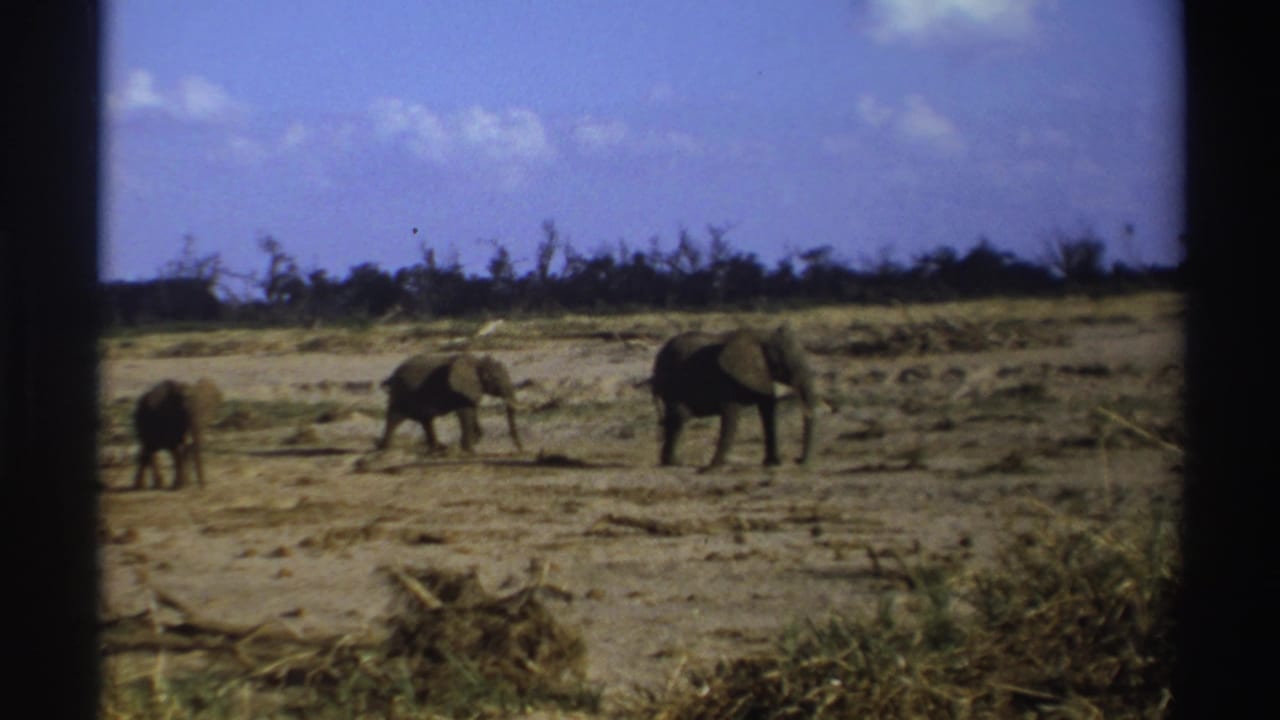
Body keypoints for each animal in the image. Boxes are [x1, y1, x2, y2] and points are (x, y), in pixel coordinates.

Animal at [378, 353, 523, 454]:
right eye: (496, 379)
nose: (520, 450)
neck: (477, 362)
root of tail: (391, 377)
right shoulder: (459, 390)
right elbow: (466, 414)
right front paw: (470, 451)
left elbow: (472, 411)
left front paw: (474, 441)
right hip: (403, 393)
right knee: (395, 417)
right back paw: (386, 449)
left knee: (426, 421)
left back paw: (437, 449)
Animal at [651, 325, 816, 469]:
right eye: (788, 366)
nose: (797, 460)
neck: (762, 335)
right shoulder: (727, 380)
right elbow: (731, 416)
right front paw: (712, 467)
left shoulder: (761, 375)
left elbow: (768, 410)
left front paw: (772, 463)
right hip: (672, 382)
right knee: (679, 417)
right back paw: (674, 463)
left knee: (677, 418)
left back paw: (671, 462)